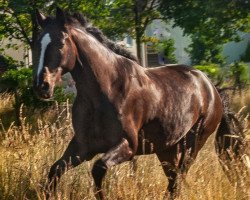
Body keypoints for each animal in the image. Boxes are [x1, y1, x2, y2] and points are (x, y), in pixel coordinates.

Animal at [32, 7, 240, 198]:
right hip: (167, 148)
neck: (105, 91)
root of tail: (211, 87)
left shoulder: (128, 146)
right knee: (173, 180)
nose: (42, 86)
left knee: (179, 178)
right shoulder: (82, 147)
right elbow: (54, 171)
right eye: (36, 44)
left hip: (193, 144)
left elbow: (98, 168)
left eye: (60, 43)